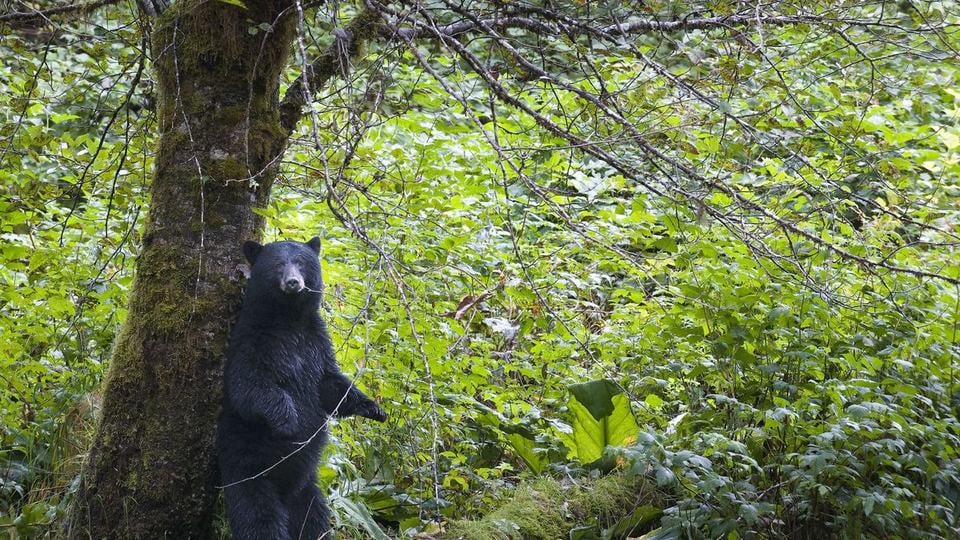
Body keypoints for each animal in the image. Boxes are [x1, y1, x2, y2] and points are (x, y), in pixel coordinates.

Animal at [216, 237, 387, 540]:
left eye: (301, 262)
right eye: (278, 264)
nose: (293, 282)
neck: (288, 319)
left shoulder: (316, 342)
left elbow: (330, 385)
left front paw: (373, 408)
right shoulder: (251, 341)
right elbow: (249, 386)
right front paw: (288, 420)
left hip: (307, 485)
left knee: (313, 517)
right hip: (247, 470)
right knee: (258, 518)